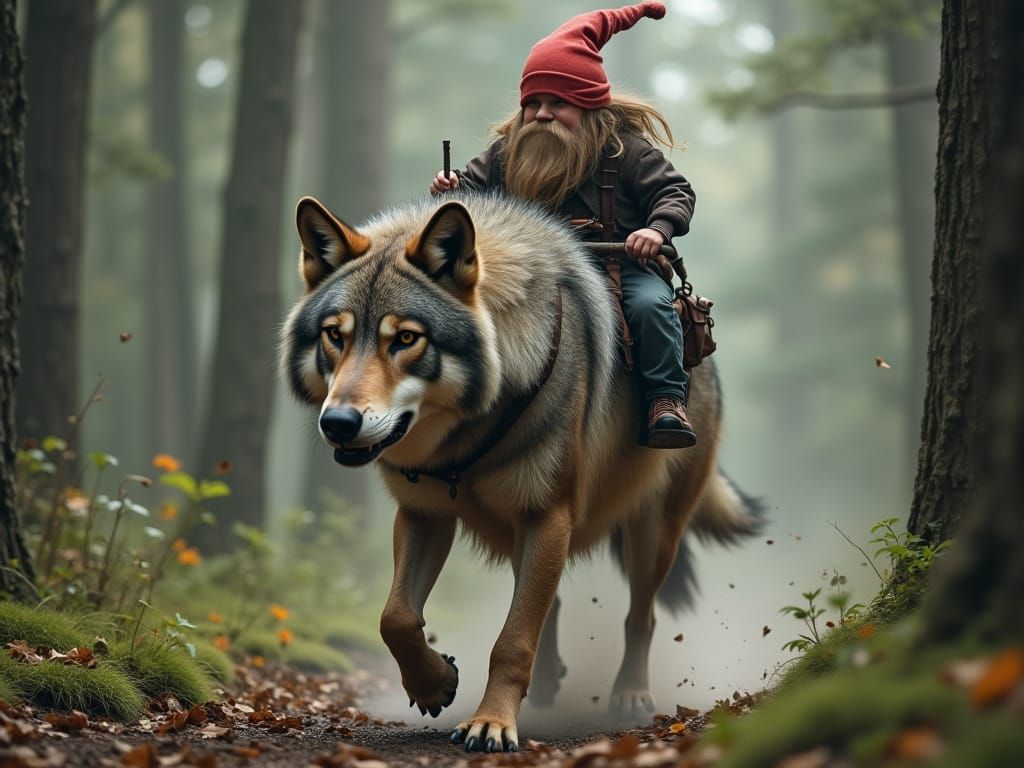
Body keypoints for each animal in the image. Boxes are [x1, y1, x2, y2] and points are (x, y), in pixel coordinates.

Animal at [280, 191, 761, 753]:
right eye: (335, 335)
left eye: (406, 339)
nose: (337, 423)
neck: (467, 443)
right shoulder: (423, 515)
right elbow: (395, 618)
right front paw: (434, 683)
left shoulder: (546, 516)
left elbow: (511, 641)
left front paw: (490, 724)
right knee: (548, 607)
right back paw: (550, 681)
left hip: (651, 532)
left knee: (640, 614)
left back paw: (630, 694)